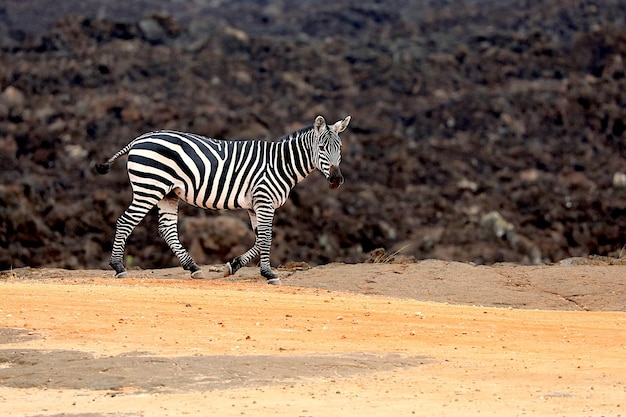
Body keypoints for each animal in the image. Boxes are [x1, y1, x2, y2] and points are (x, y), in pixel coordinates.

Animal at [97, 114, 352, 282]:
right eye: (322, 147)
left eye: (340, 148)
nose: (336, 180)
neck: (281, 164)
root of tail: (138, 139)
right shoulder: (264, 200)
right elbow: (266, 238)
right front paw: (268, 273)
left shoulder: (255, 205)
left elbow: (259, 238)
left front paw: (233, 266)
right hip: (149, 186)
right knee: (125, 221)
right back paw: (118, 266)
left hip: (167, 193)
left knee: (166, 229)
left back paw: (193, 267)